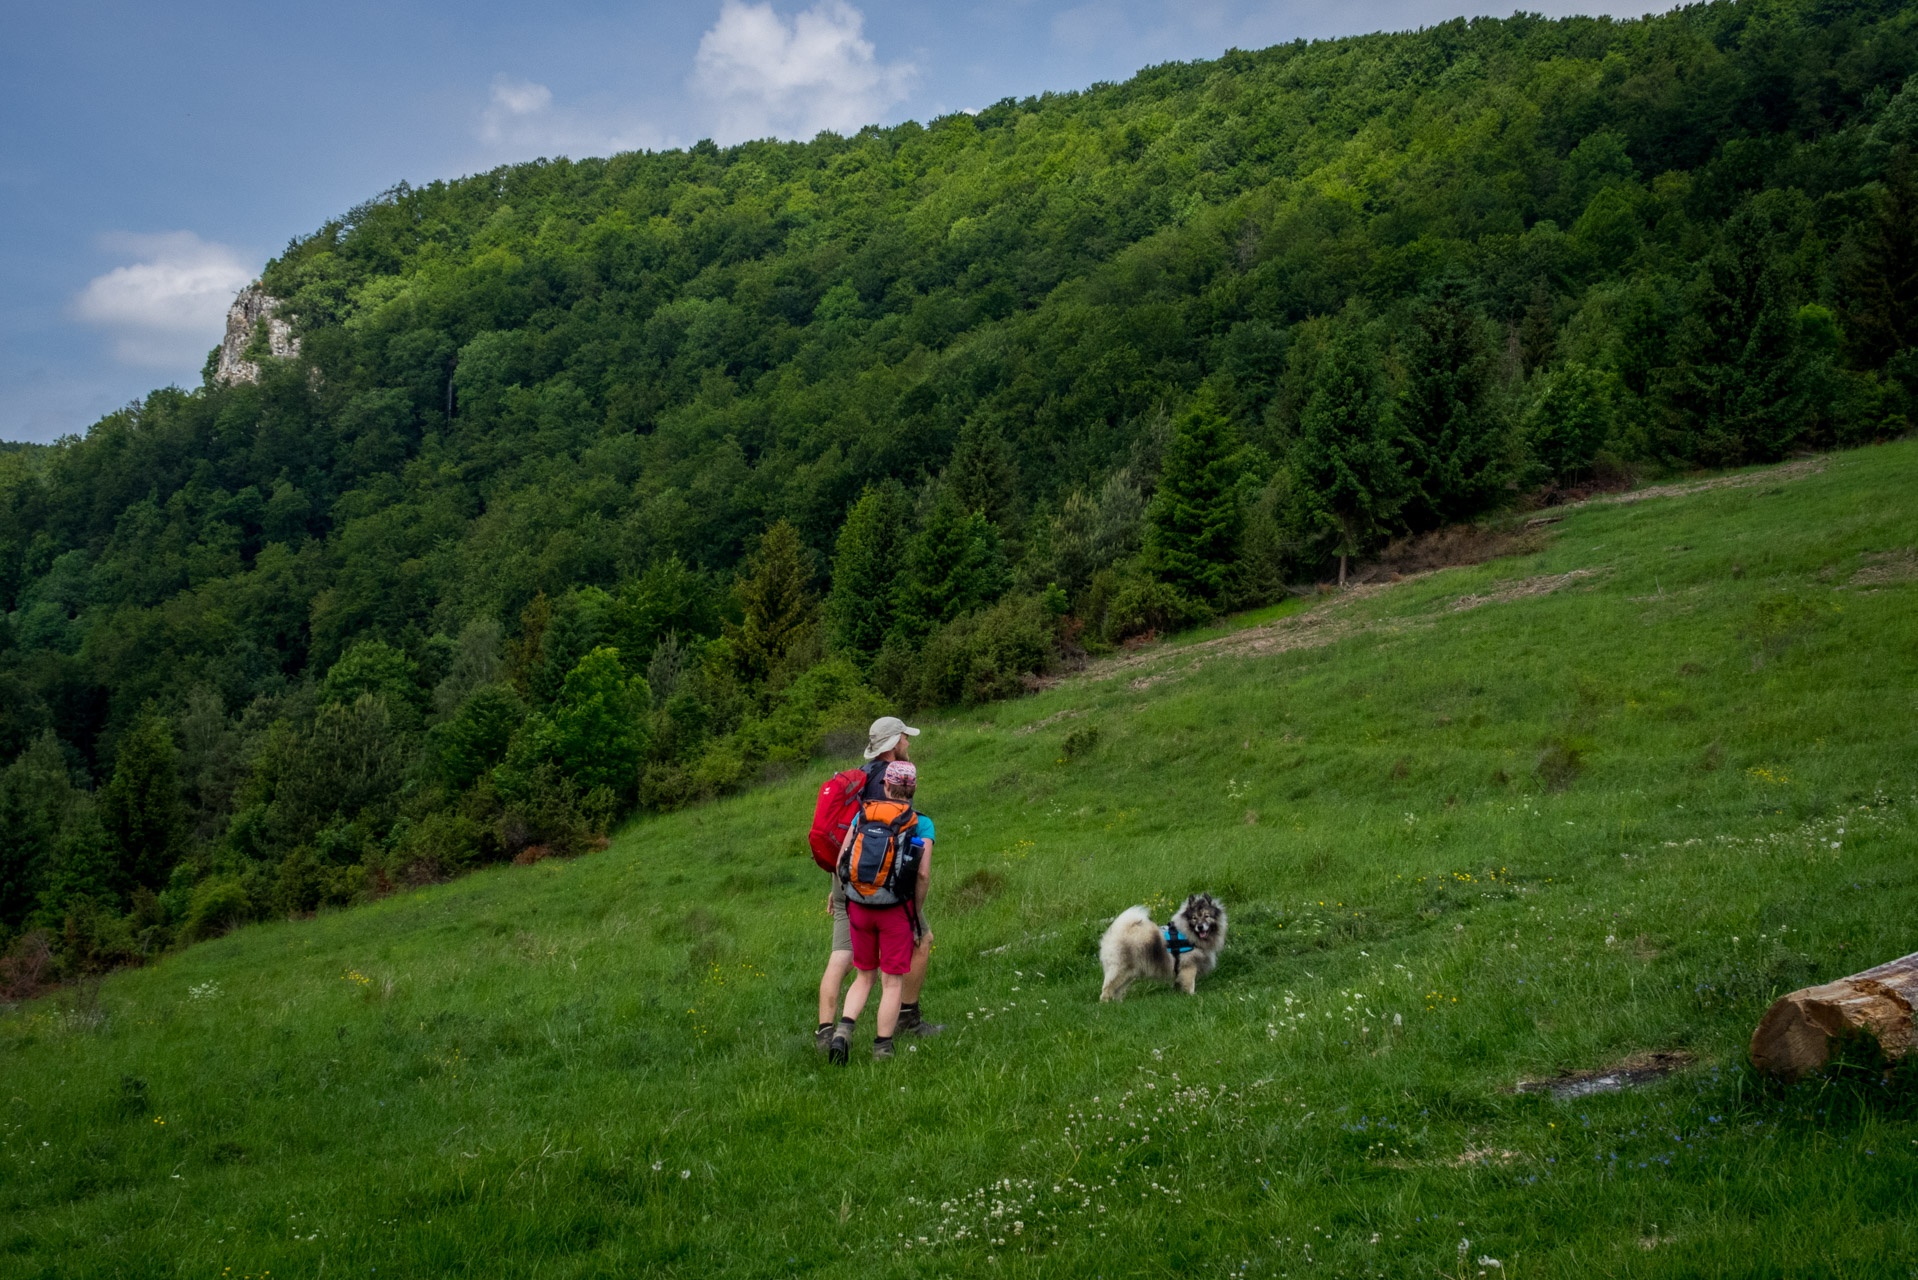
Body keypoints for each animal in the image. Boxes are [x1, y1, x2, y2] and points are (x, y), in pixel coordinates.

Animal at [1097, 890, 1227, 997]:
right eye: (1194, 918)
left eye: (1207, 916)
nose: (1200, 927)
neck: (1188, 933)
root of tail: (1114, 933)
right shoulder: (1189, 967)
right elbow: (1190, 984)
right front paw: (1191, 995)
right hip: (1120, 971)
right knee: (1107, 990)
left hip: (1128, 973)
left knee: (1117, 990)